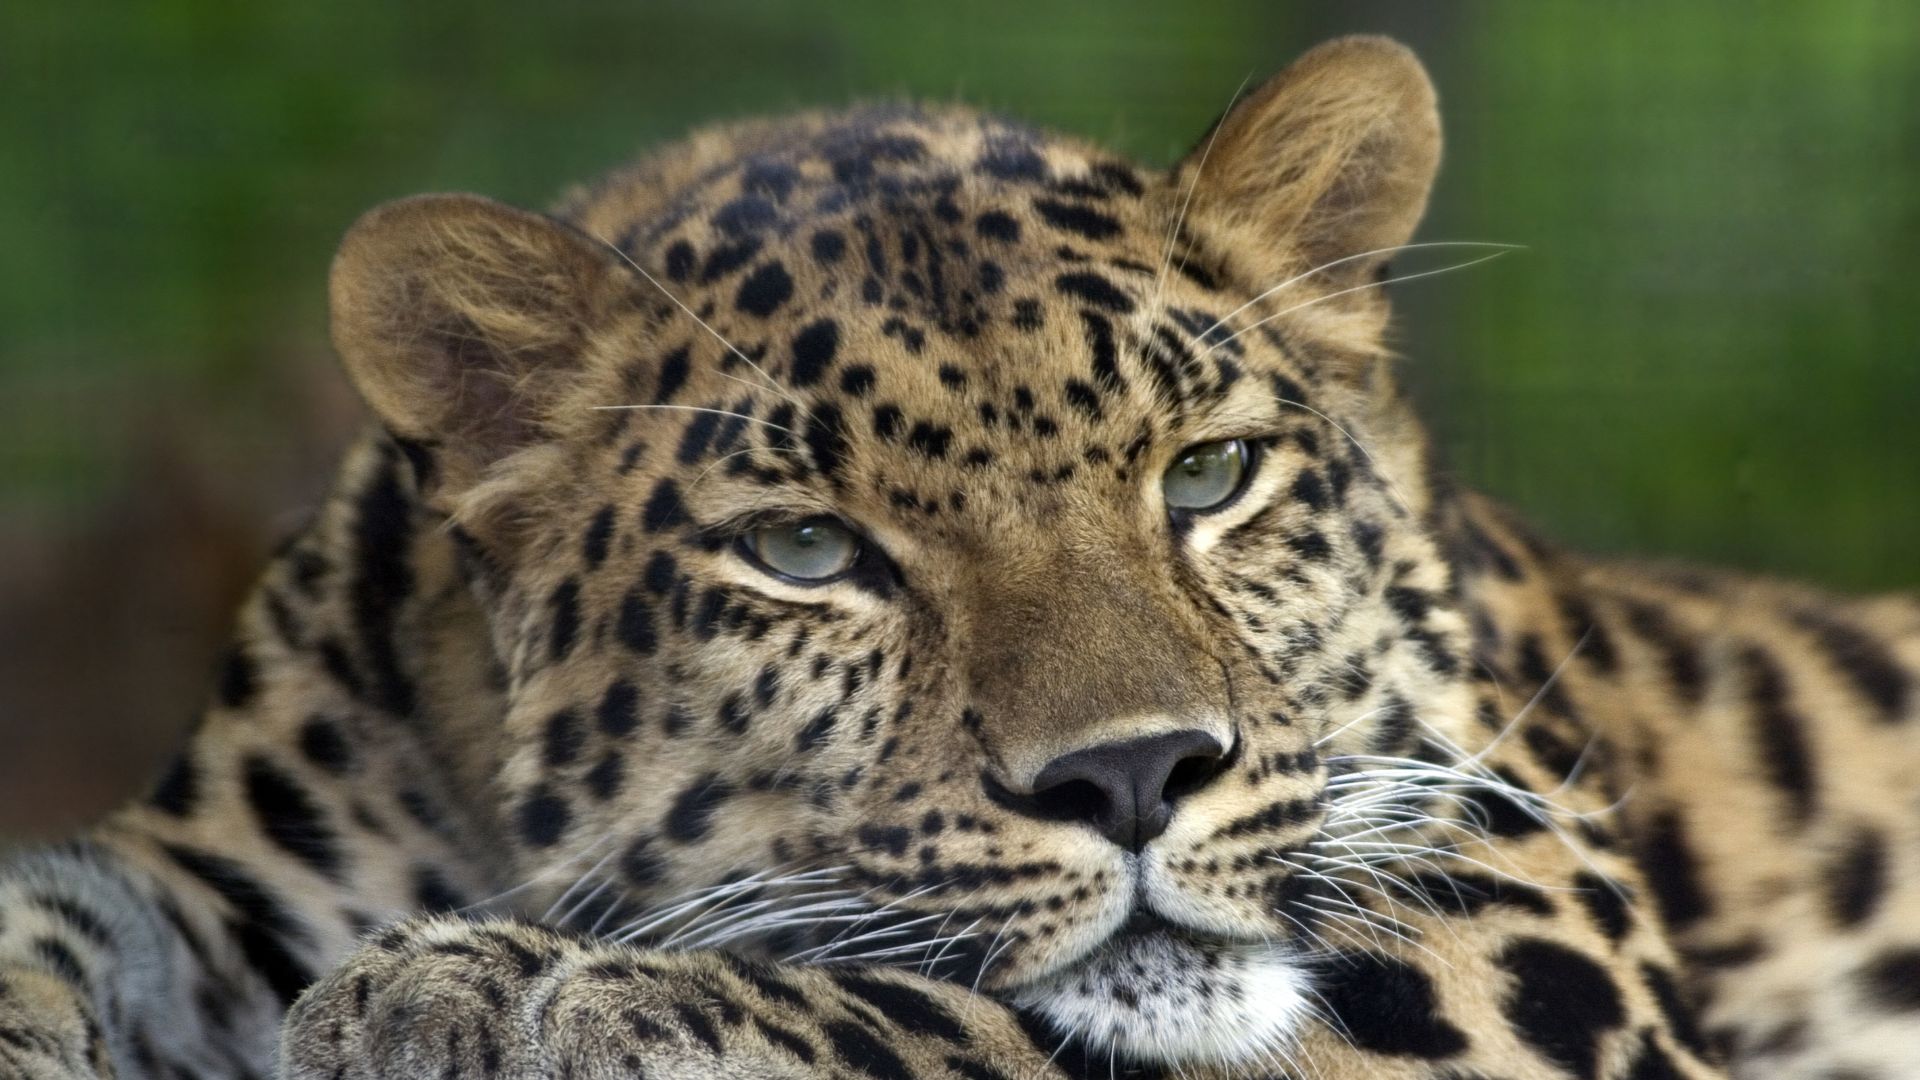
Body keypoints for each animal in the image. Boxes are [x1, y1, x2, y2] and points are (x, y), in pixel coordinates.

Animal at [2, 33, 1917, 1080]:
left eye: (1208, 473)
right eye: (807, 549)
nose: (1136, 777)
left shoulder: (1524, 918)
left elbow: (982, 1020)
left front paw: (505, 994)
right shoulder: (221, 866)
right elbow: (54, 913)